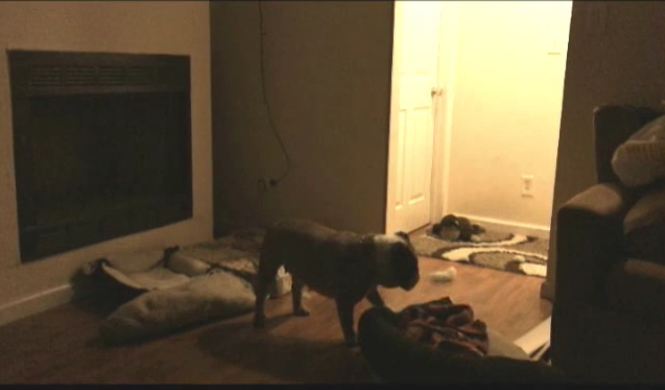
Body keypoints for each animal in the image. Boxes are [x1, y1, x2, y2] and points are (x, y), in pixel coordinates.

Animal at [252, 219, 418, 344]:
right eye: (411, 268)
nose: (417, 278)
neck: (374, 257)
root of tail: (277, 224)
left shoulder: (370, 290)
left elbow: (381, 303)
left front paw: (392, 314)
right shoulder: (345, 301)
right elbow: (348, 322)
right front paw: (351, 340)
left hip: (301, 272)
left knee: (296, 289)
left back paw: (299, 309)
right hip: (269, 268)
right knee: (261, 295)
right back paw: (259, 319)